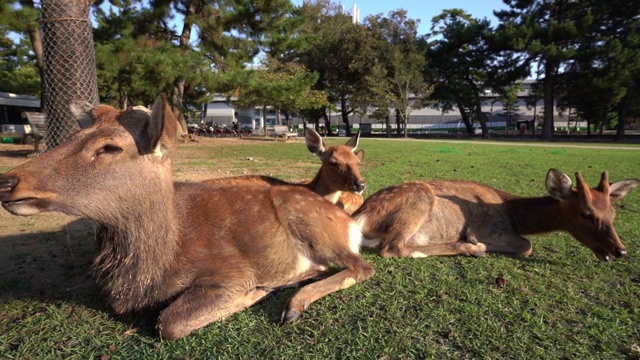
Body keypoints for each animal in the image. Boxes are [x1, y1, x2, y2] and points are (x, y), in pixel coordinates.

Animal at [352, 169, 636, 262]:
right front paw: (478, 244)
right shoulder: (491, 227)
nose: (620, 250)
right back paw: (472, 248)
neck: (514, 213)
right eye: (586, 214)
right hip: (418, 201)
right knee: (392, 247)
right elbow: (527, 245)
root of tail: (359, 217)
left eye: (613, 213)